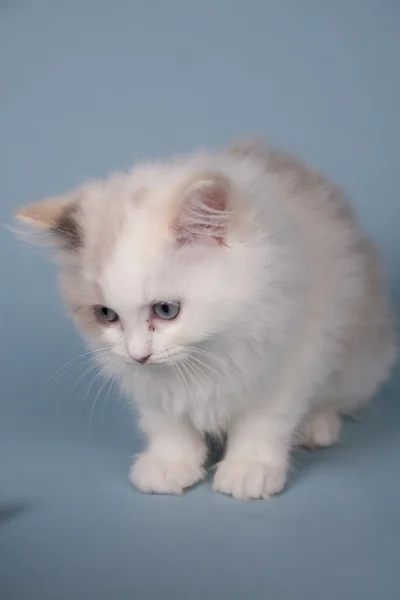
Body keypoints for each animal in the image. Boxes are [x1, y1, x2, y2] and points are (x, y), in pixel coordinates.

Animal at [16, 141, 396, 496]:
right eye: (107, 315)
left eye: (165, 310)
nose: (139, 355)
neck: (210, 352)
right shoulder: (151, 385)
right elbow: (167, 423)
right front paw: (170, 464)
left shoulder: (293, 357)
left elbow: (264, 420)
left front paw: (249, 468)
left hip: (360, 355)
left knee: (340, 398)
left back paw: (316, 426)